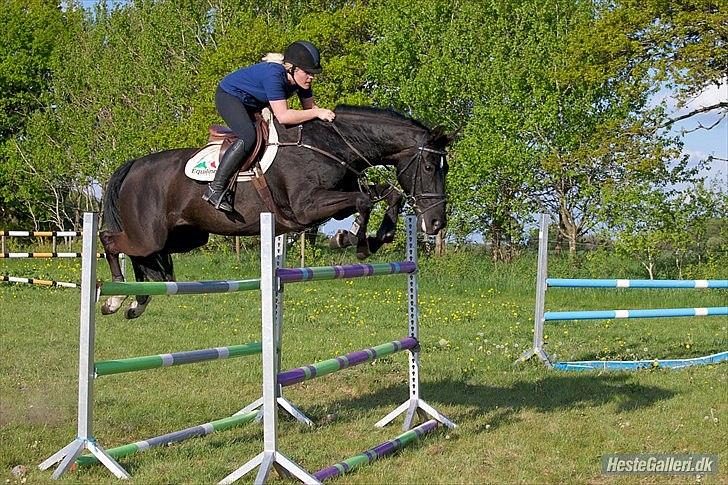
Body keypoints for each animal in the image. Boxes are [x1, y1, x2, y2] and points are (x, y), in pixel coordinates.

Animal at [98, 105, 450, 318]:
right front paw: (353, 240)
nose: (436, 223)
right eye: (429, 166)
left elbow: (388, 195)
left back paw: (138, 300)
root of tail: (134, 165)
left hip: (186, 237)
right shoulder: (306, 208)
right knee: (110, 240)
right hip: (149, 235)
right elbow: (364, 202)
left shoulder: (336, 198)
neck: (332, 144)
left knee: (146, 260)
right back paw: (115, 297)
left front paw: (374, 237)